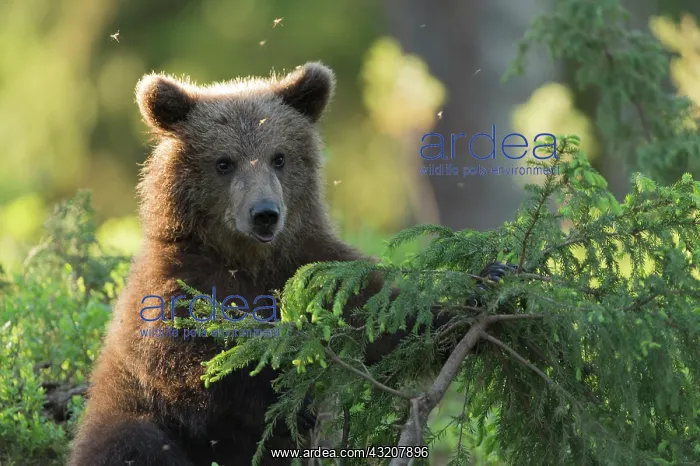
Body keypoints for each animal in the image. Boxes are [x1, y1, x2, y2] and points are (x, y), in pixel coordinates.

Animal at [68, 62, 510, 466]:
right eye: (224, 162)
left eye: (278, 157)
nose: (265, 213)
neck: (247, 259)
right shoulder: (178, 285)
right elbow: (195, 366)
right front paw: (287, 397)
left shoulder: (312, 267)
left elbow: (382, 316)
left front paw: (485, 286)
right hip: (130, 418)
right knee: (133, 444)